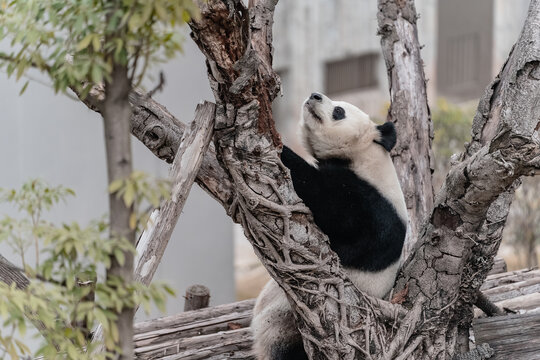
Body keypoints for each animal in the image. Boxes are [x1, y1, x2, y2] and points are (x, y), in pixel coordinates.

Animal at [251, 92, 408, 360]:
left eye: (339, 111)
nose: (314, 95)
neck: (365, 155)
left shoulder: (372, 206)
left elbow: (326, 201)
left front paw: (282, 150)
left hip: (288, 327)